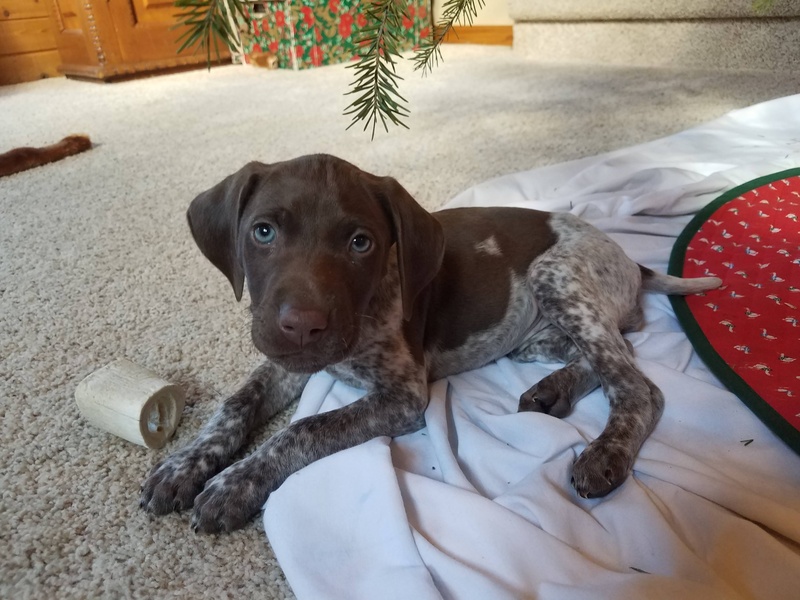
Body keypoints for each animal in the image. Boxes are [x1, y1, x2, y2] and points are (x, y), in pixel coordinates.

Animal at [140, 154, 721, 534]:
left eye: (361, 243)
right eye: (263, 232)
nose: (303, 325)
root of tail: (630, 260)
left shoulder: (402, 397)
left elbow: (302, 429)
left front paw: (235, 484)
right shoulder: (289, 360)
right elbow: (237, 403)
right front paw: (185, 464)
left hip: (555, 277)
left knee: (639, 385)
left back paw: (606, 453)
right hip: (535, 337)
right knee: (610, 354)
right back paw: (552, 390)